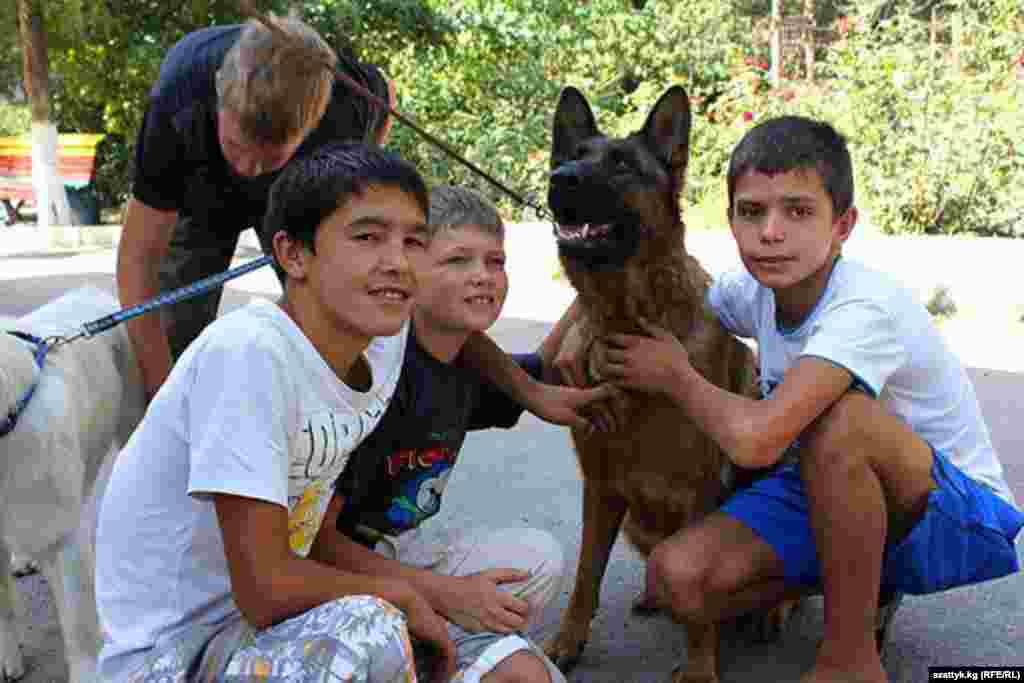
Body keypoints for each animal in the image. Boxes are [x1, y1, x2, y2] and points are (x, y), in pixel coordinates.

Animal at [541, 85, 796, 683]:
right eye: (574, 154)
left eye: (621, 165)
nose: (559, 178)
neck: (628, 319)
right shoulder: (601, 489)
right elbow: (585, 574)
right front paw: (568, 640)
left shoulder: (699, 491)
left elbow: (699, 607)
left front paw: (700, 668)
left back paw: (773, 610)